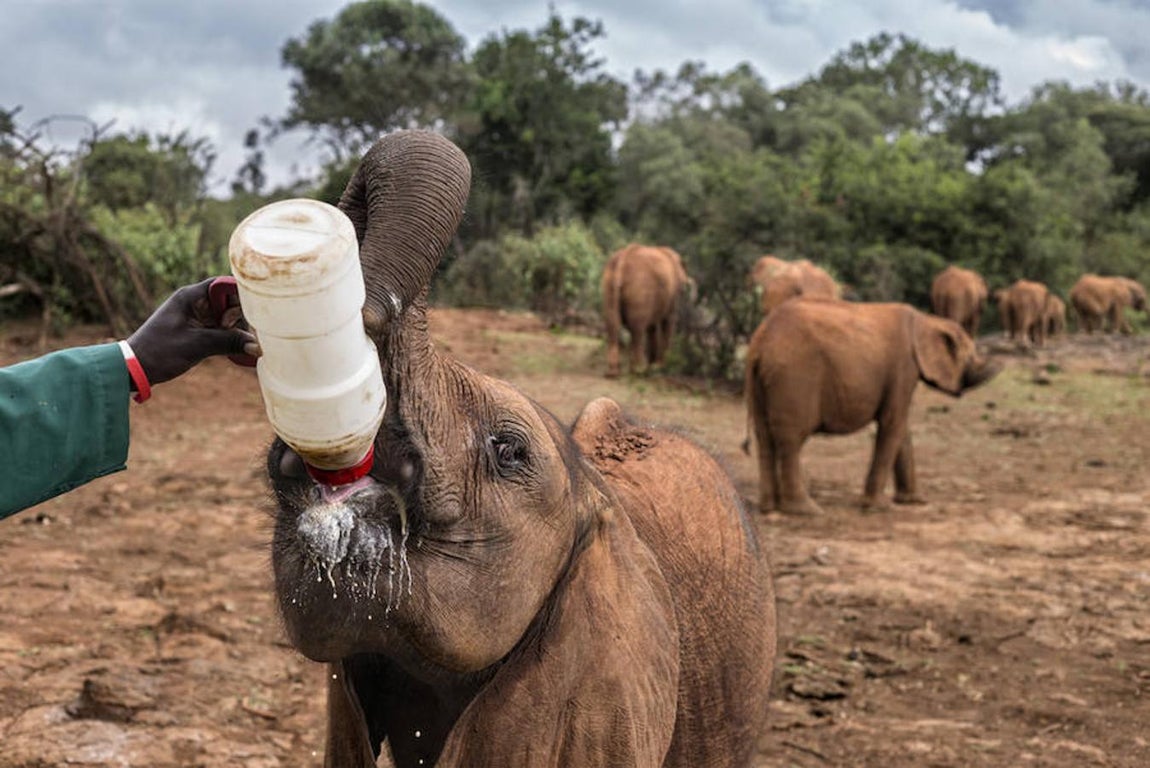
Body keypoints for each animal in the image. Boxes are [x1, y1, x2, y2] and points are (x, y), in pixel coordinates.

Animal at [601, 244, 695, 377]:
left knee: (612, 324)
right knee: (637, 329)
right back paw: (638, 370)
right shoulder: (672, 294)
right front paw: (659, 367)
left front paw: (653, 366)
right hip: (639, 289)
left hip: (608, 285)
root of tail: (623, 258)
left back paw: (612, 373)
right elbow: (668, 322)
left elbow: (652, 327)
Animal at [743, 298, 1000, 515]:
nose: (996, 366)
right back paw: (807, 510)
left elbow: (902, 428)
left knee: (764, 437)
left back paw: (769, 508)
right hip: (794, 377)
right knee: (791, 441)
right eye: (970, 357)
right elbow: (893, 423)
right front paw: (877, 507)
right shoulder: (903, 367)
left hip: (763, 381)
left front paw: (913, 502)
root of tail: (760, 342)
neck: (927, 320)